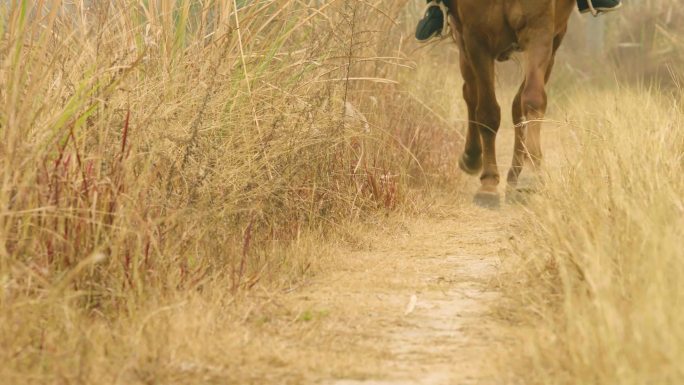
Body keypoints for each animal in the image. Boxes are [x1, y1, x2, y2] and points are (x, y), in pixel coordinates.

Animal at [444, 0, 576, 207]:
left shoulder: (540, 28)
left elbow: (532, 100)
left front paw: (530, 175)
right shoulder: (476, 36)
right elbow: (487, 112)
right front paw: (488, 185)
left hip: (555, 39)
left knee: (516, 105)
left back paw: (515, 178)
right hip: (462, 39)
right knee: (471, 93)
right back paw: (471, 158)